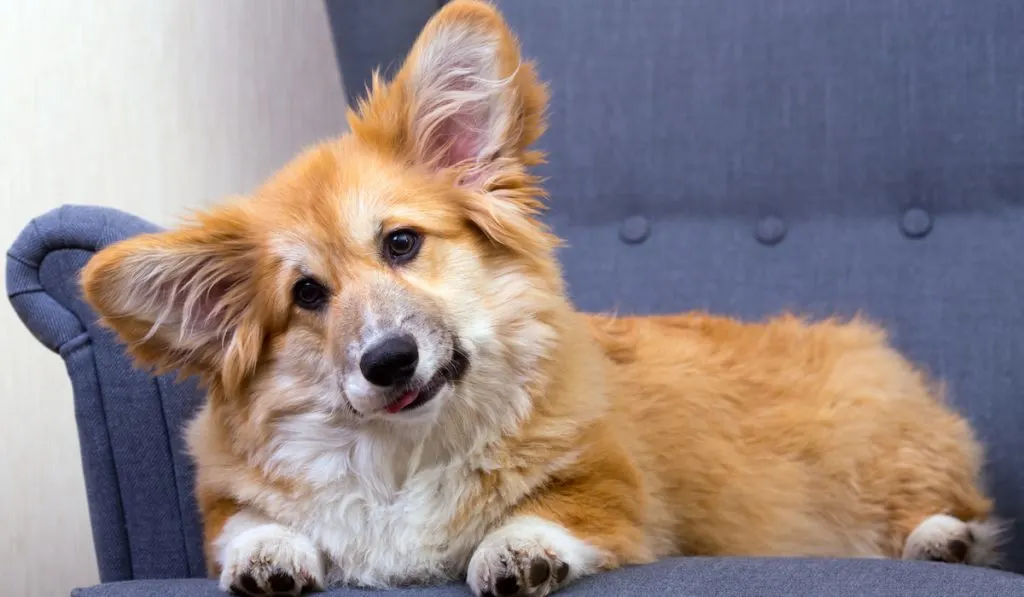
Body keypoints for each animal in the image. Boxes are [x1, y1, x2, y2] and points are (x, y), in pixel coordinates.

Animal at [79, 1, 999, 597]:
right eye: (307, 293)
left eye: (401, 242)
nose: (388, 361)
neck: (409, 450)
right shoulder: (231, 498)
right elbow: (245, 524)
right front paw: (267, 557)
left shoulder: (615, 485)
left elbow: (555, 506)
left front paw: (515, 548)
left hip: (878, 454)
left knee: (952, 510)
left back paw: (943, 540)